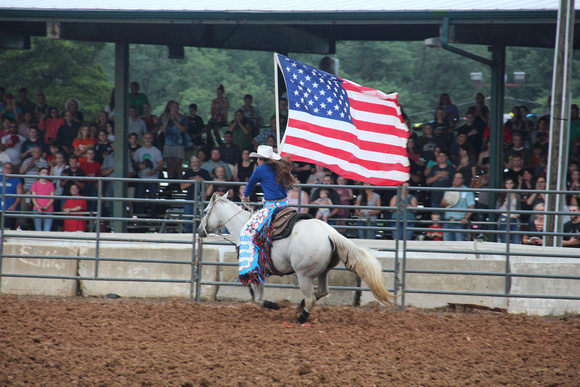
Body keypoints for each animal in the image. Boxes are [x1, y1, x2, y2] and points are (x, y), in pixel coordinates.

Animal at [198, 194, 394, 324]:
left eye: (206, 211)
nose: (200, 230)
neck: (242, 226)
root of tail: (330, 233)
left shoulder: (256, 272)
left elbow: (258, 299)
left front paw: (274, 305)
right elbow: (255, 297)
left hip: (304, 275)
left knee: (311, 298)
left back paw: (300, 318)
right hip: (323, 272)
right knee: (322, 291)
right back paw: (300, 307)